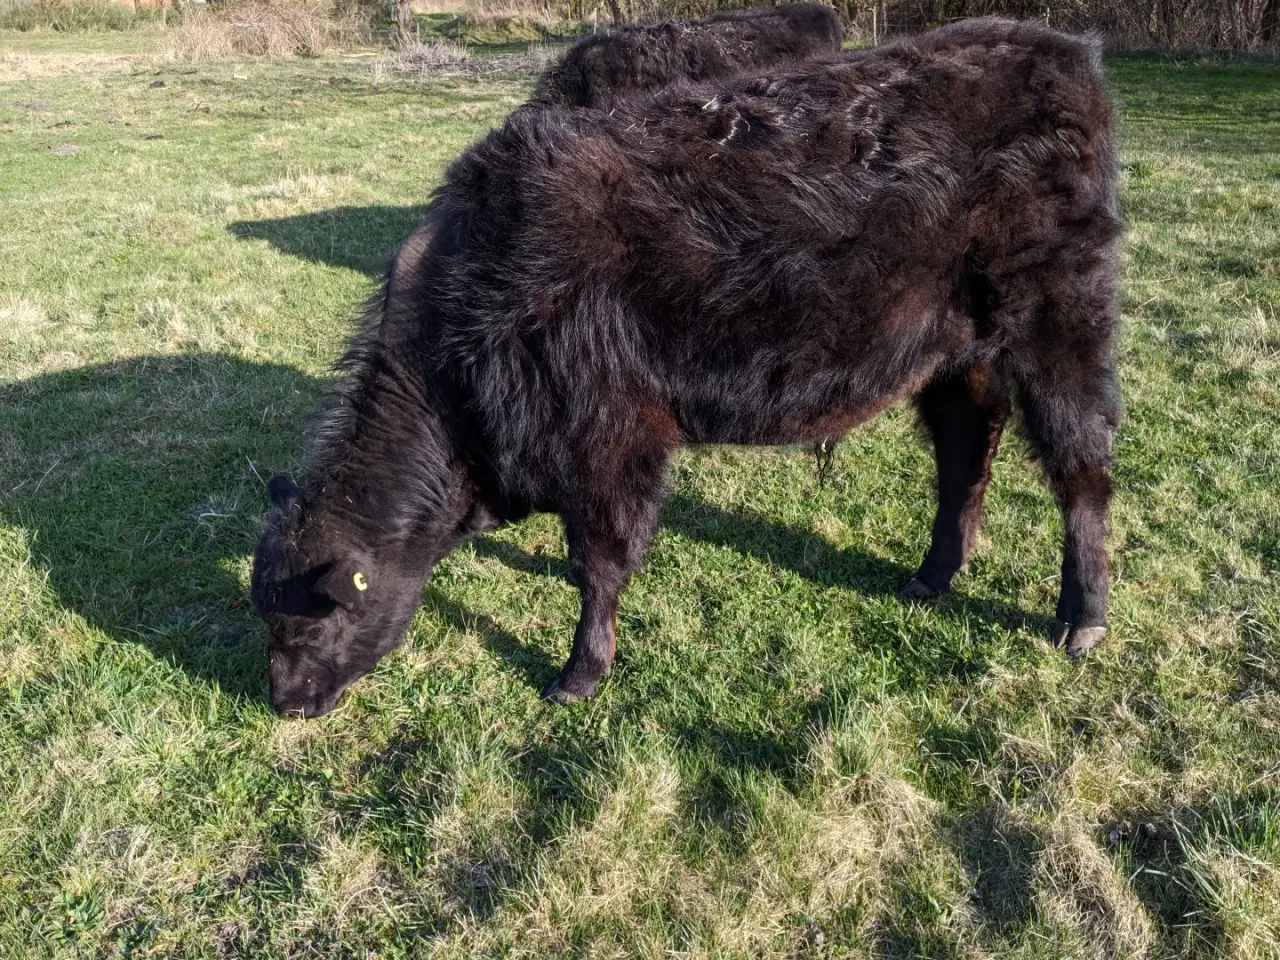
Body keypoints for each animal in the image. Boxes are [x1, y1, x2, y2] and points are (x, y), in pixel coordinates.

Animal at [253, 19, 1122, 719]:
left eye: (314, 618)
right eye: (264, 612)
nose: (284, 703)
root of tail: (1058, 50)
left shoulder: (612, 443)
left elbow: (599, 564)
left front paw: (579, 674)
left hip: (1061, 331)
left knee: (1081, 468)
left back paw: (1081, 617)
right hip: (955, 355)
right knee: (967, 453)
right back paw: (933, 575)